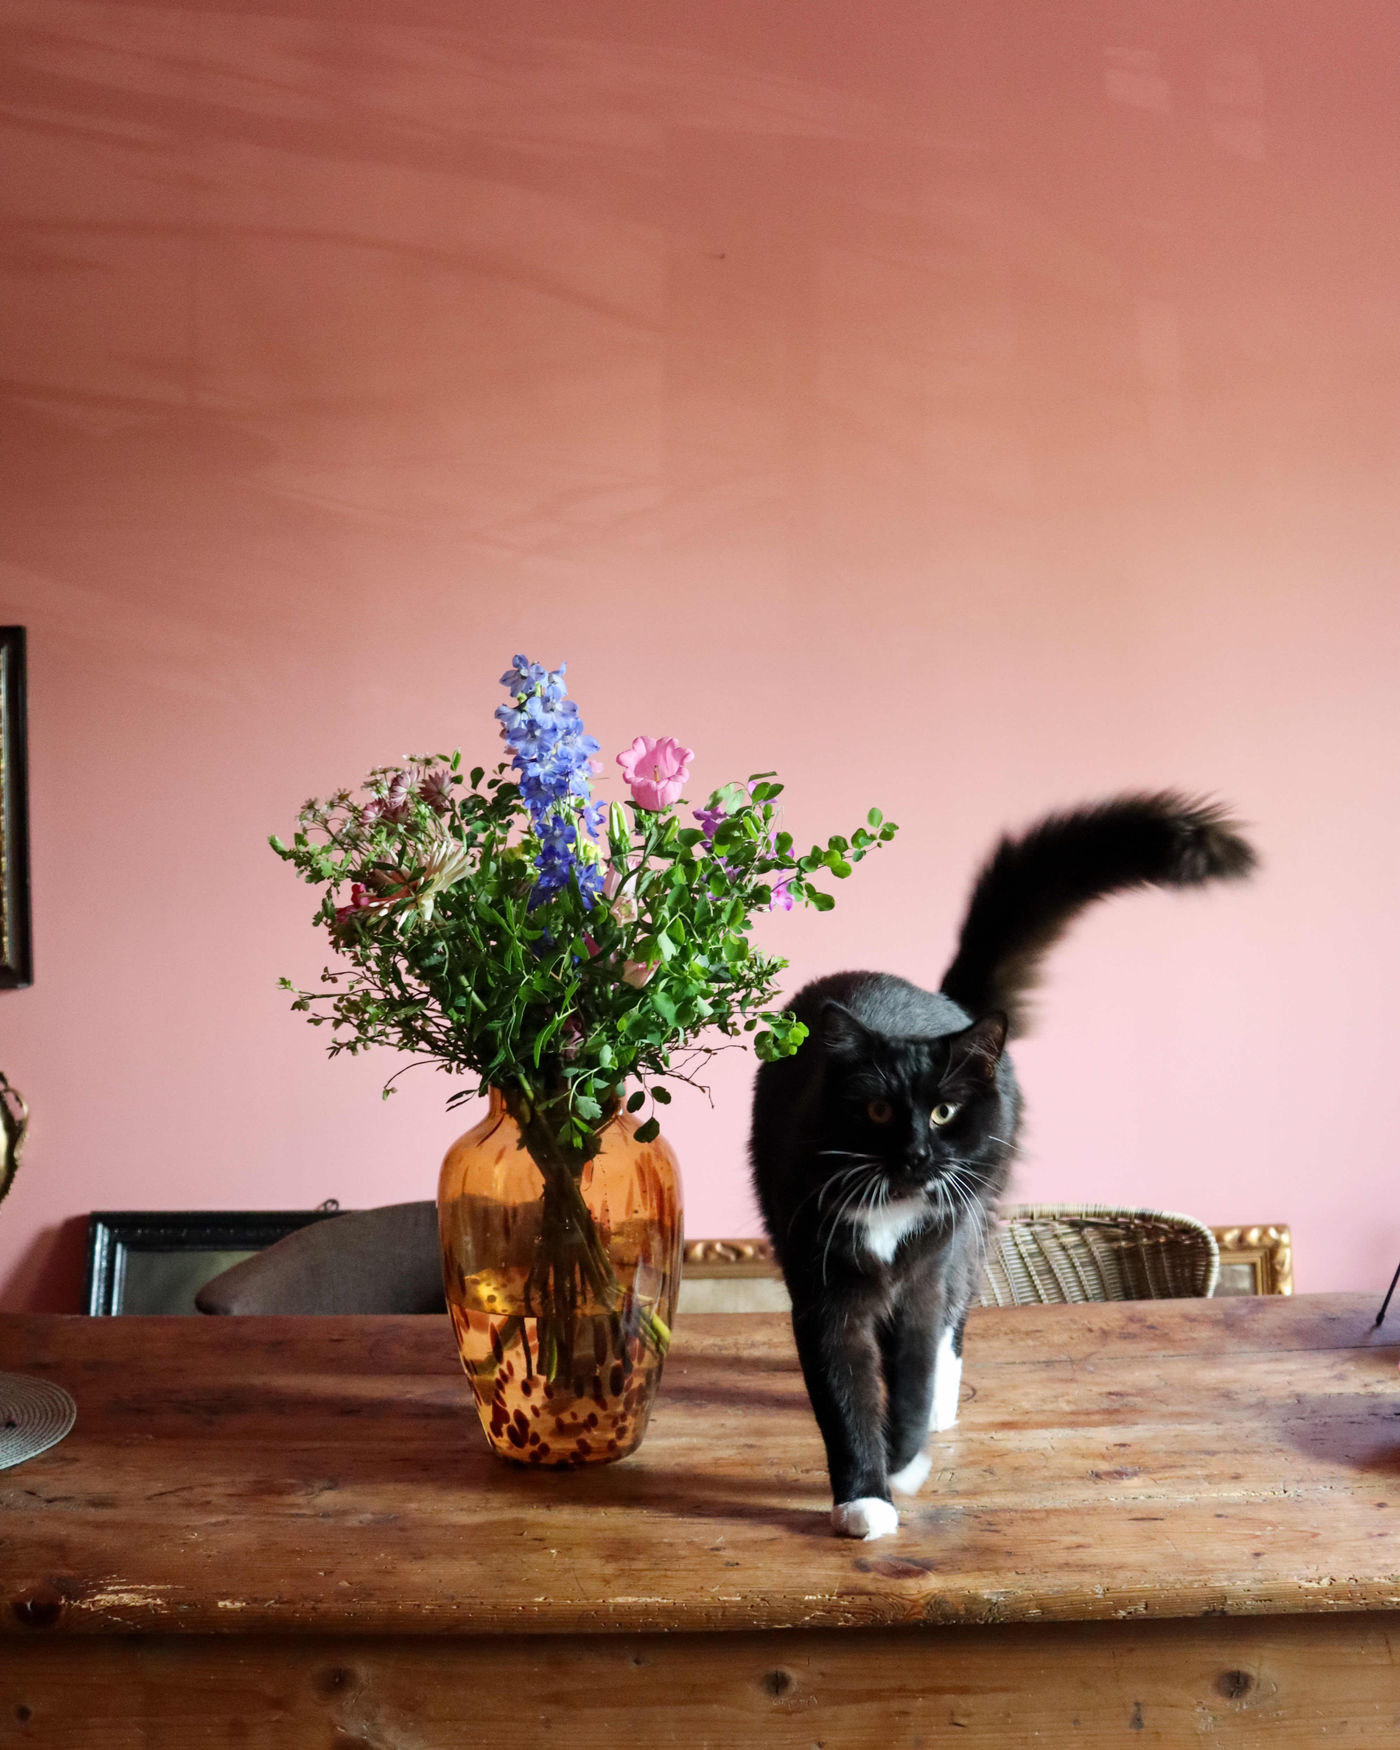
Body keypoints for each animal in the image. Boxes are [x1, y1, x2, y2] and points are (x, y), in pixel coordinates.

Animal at [749, 792, 1255, 1540]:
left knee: (955, 1316)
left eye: (943, 1113)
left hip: (976, 1209)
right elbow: (843, 1392)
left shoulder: (927, 1269)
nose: (919, 1153)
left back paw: (939, 1407)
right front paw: (865, 1497)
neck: (893, 1204)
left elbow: (914, 1364)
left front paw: (905, 1459)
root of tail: (949, 1006)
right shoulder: (822, 1282)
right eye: (877, 1112)